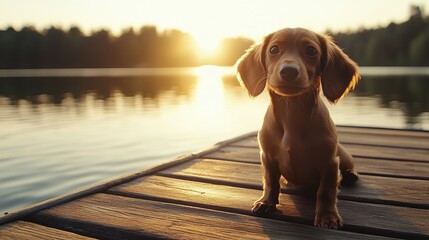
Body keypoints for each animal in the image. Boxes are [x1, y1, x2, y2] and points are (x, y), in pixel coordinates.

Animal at [236, 27, 360, 229]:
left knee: (348, 167)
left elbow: (326, 191)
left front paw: (327, 216)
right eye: (274, 49)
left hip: (343, 155)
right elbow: (271, 182)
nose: (288, 71)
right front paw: (266, 202)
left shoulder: (330, 162)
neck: (292, 113)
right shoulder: (267, 157)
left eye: (311, 51)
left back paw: (350, 174)